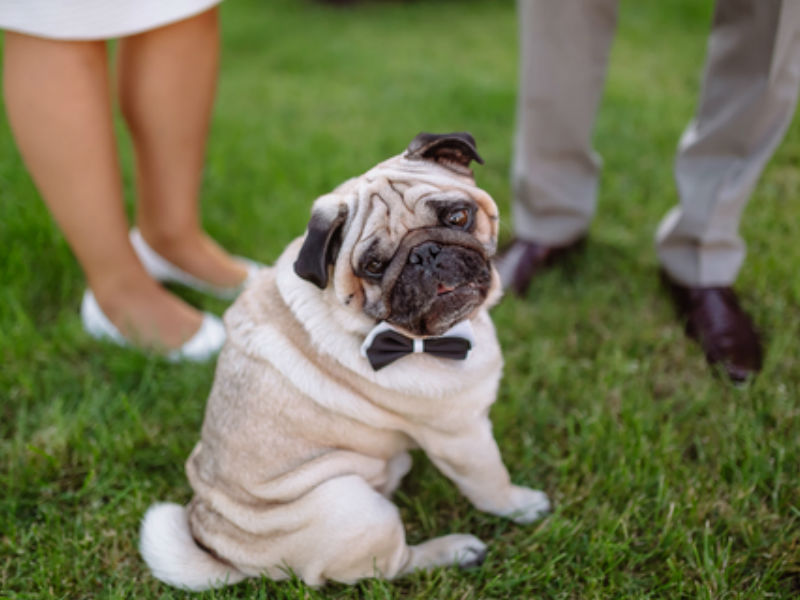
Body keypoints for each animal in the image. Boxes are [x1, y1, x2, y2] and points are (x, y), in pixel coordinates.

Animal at [139, 134, 552, 588]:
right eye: (374, 266)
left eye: (458, 216)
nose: (425, 254)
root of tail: (224, 551)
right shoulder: (462, 435)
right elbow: (491, 482)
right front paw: (521, 506)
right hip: (355, 506)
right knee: (391, 566)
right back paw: (456, 550)